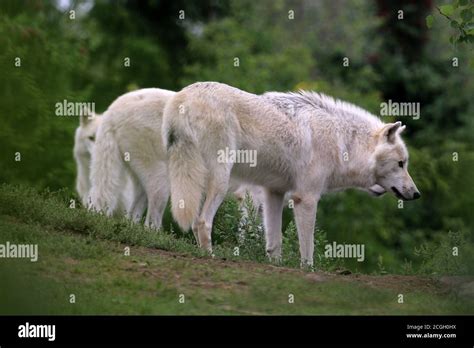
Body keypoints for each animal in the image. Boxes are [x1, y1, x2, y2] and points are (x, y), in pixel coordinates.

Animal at [164, 81, 422, 266]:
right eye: (401, 163)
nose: (417, 194)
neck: (342, 143)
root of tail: (182, 97)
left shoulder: (274, 194)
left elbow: (274, 242)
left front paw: (275, 265)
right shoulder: (305, 198)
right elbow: (307, 249)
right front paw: (308, 270)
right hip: (220, 182)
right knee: (202, 222)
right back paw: (210, 257)